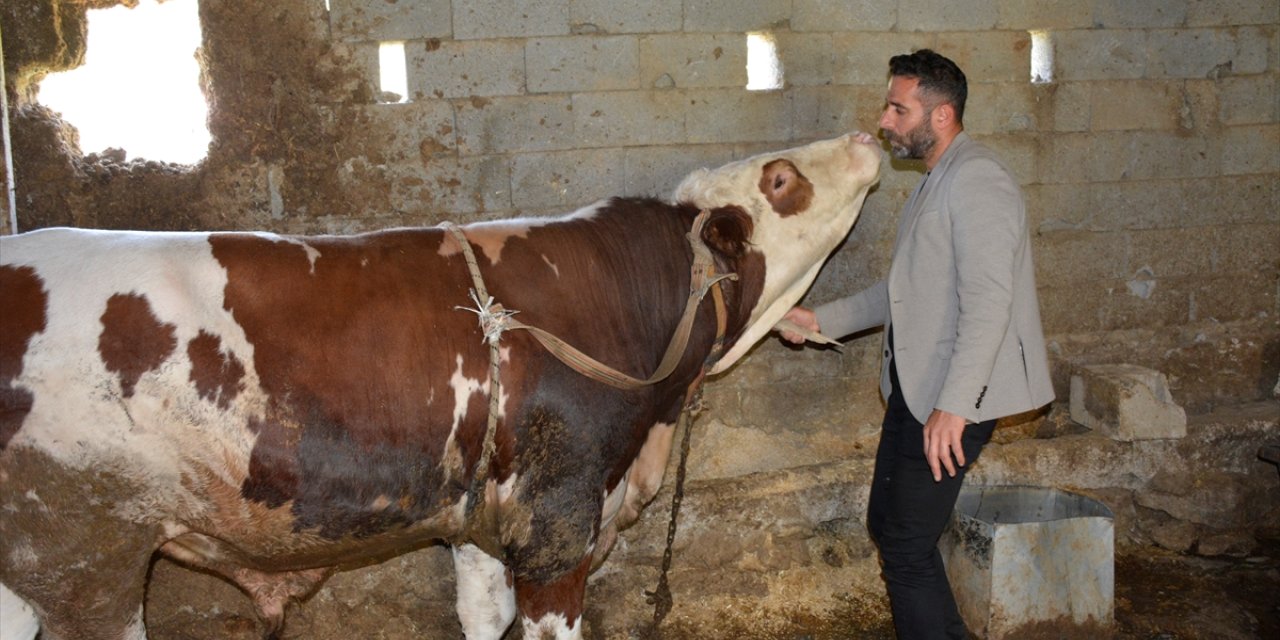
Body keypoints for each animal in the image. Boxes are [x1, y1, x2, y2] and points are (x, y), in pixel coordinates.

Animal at [0, 132, 880, 637]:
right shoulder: (557, 517)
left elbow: (482, 617)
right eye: (781, 180)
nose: (870, 134)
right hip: (87, 560)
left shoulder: (482, 520)